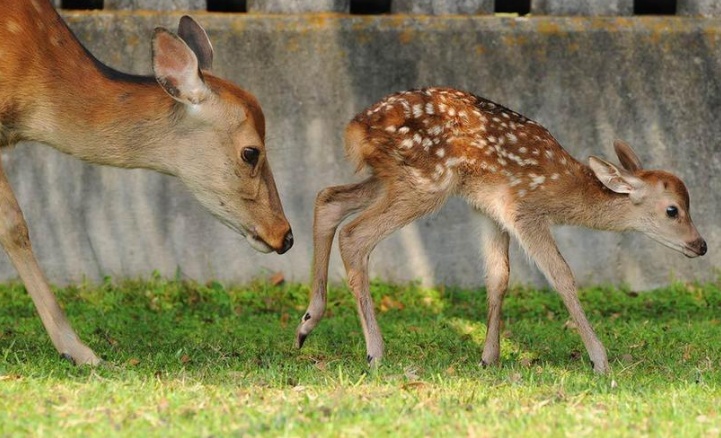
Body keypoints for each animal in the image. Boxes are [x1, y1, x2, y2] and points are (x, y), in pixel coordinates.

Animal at [296, 87, 704, 374]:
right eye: (673, 210)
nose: (700, 245)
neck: (562, 189)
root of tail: (355, 128)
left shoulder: (491, 211)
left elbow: (498, 277)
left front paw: (489, 358)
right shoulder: (523, 210)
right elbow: (561, 275)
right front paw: (600, 361)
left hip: (390, 178)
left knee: (328, 198)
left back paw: (307, 323)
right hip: (424, 182)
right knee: (355, 235)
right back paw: (374, 353)